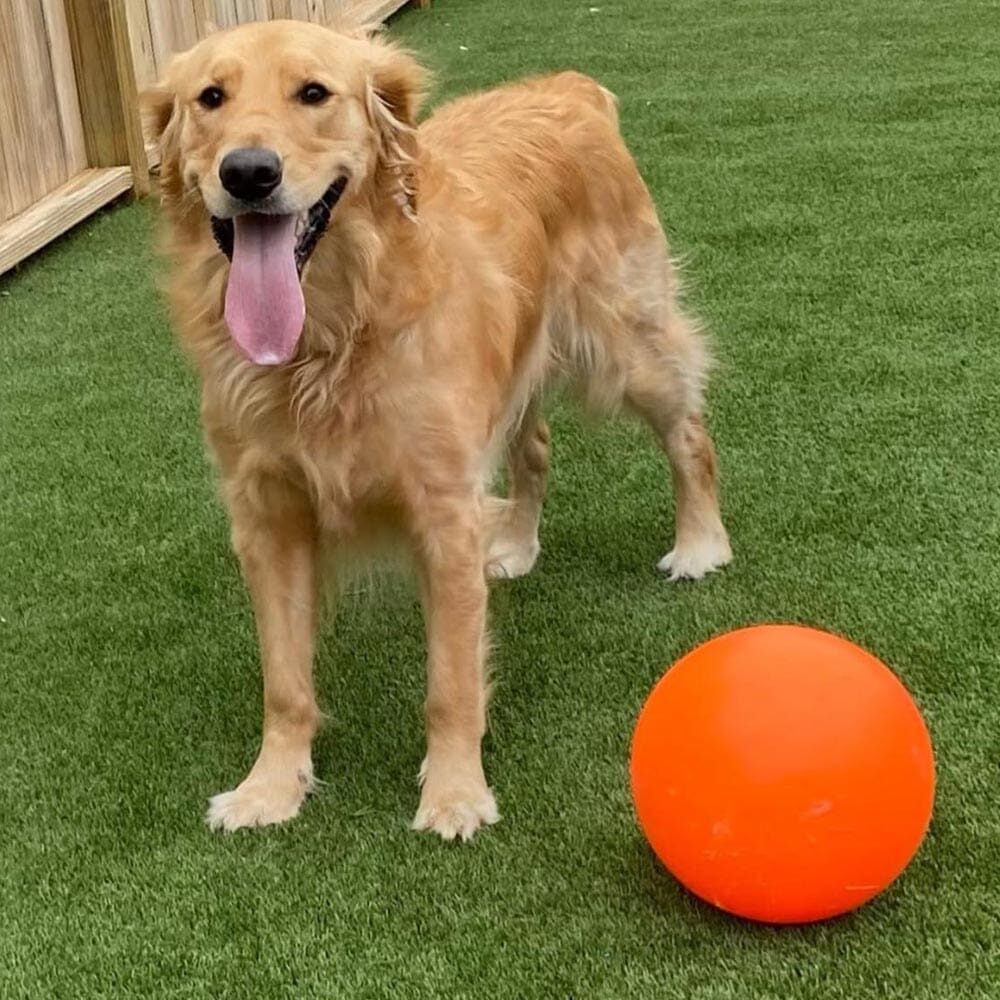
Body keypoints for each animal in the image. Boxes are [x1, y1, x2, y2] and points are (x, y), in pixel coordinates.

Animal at [141, 19, 732, 840]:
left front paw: (454, 794)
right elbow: (284, 683)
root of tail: (567, 88)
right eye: (210, 98)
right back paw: (515, 544)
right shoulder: (267, 516)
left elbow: (451, 681)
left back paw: (701, 541)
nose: (249, 173)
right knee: (536, 447)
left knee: (688, 433)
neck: (332, 335)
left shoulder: (442, 510)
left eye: (314, 93)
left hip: (626, 342)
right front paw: (271, 787)